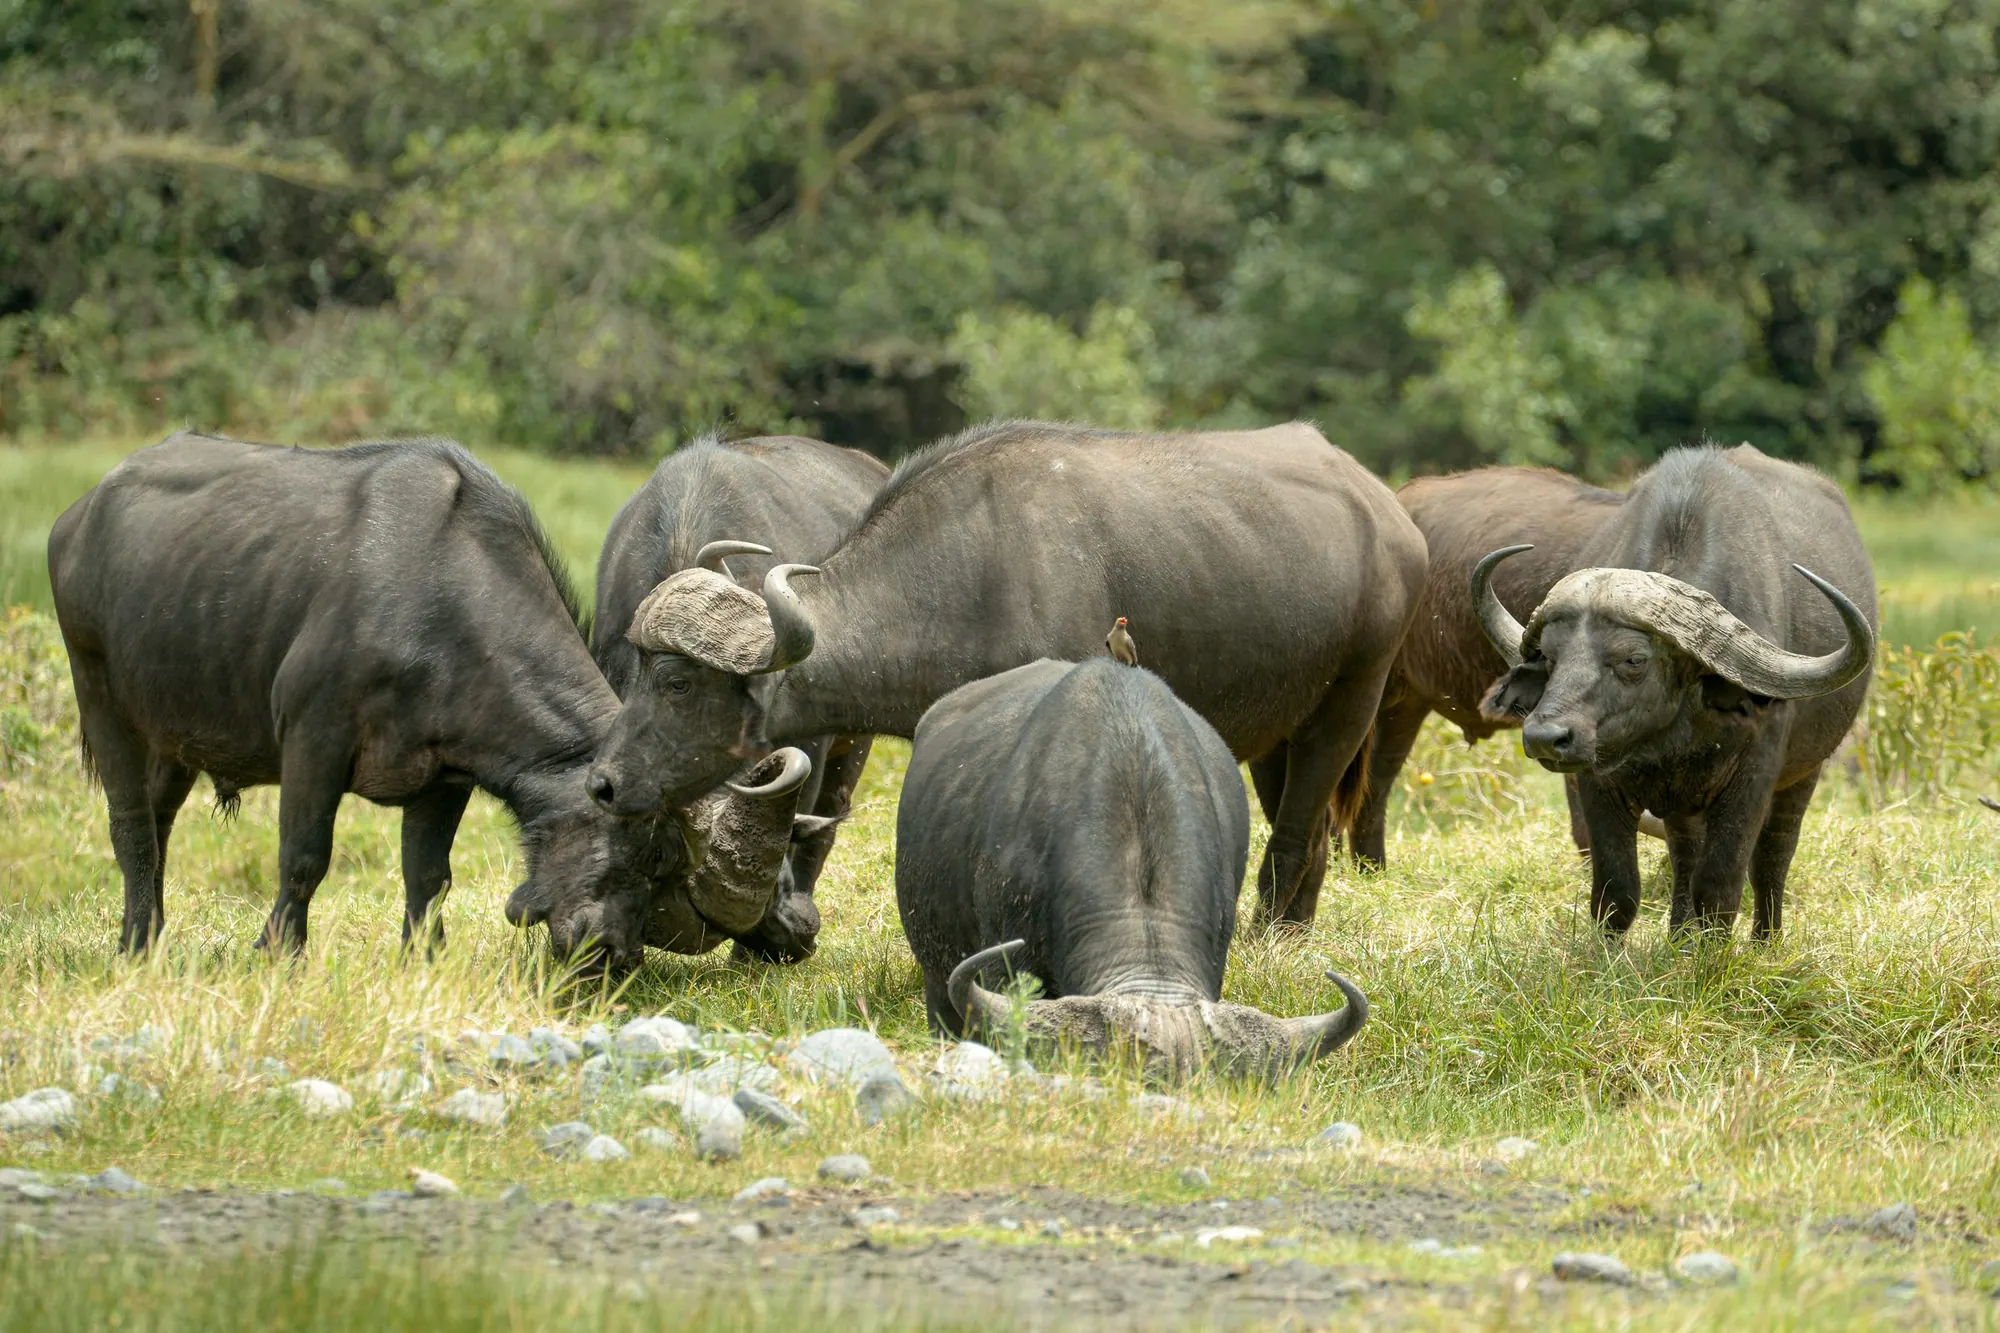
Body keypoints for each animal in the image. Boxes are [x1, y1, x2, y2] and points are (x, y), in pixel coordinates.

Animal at [1475, 444, 1876, 938]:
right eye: (1549, 657)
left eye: (1634, 660)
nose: (1545, 738)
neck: (1669, 735)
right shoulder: (1596, 780)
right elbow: (1616, 890)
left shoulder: (1754, 777)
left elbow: (1721, 886)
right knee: (1685, 852)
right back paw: (1680, 936)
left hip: (1806, 772)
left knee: (1773, 857)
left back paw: (1765, 940)